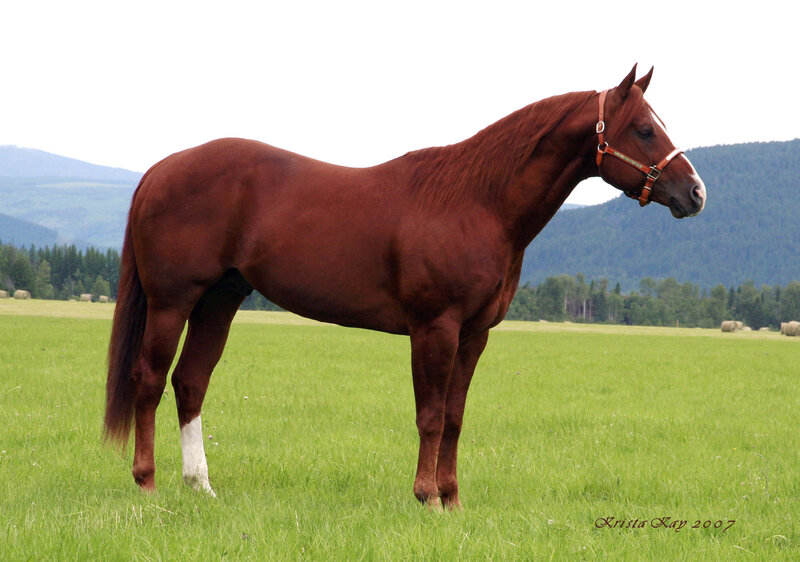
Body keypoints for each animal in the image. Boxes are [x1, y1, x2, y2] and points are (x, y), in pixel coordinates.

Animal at [104, 65, 706, 509]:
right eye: (645, 129)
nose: (696, 193)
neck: (476, 202)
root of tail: (160, 169)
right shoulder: (434, 327)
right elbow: (431, 414)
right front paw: (425, 497)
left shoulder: (474, 335)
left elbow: (456, 416)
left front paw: (452, 498)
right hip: (173, 301)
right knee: (150, 378)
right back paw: (148, 483)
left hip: (220, 300)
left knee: (190, 382)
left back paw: (200, 487)